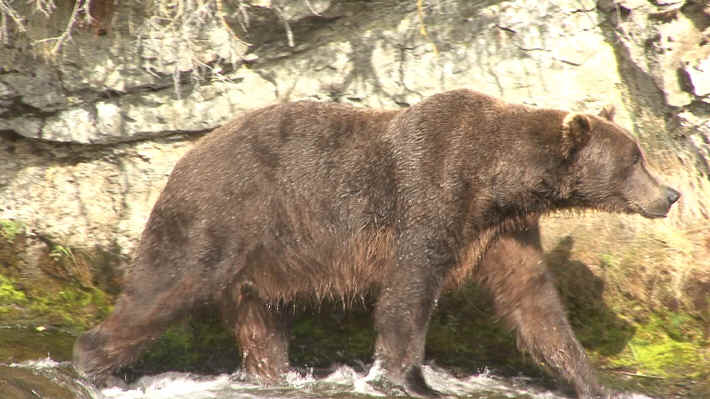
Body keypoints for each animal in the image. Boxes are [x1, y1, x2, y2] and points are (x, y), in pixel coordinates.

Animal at [75, 90, 680, 399]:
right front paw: (411, 379)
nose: (671, 194)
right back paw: (93, 364)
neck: (496, 180)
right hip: (220, 217)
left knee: (261, 327)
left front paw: (593, 381)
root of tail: (182, 158)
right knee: (163, 288)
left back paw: (271, 376)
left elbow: (535, 305)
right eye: (635, 160)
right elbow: (407, 295)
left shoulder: (504, 231)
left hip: (259, 260)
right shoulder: (432, 196)